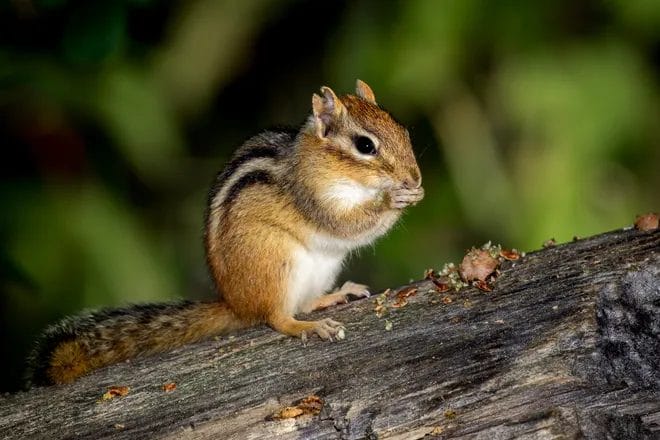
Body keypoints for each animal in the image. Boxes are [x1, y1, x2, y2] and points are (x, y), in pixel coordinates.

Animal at [26, 80, 424, 387]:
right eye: (365, 146)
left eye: (404, 130)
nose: (415, 177)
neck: (321, 163)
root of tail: (235, 302)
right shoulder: (314, 199)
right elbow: (348, 225)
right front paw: (395, 199)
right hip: (274, 261)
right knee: (277, 317)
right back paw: (307, 327)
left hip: (318, 270)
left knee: (302, 303)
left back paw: (334, 296)